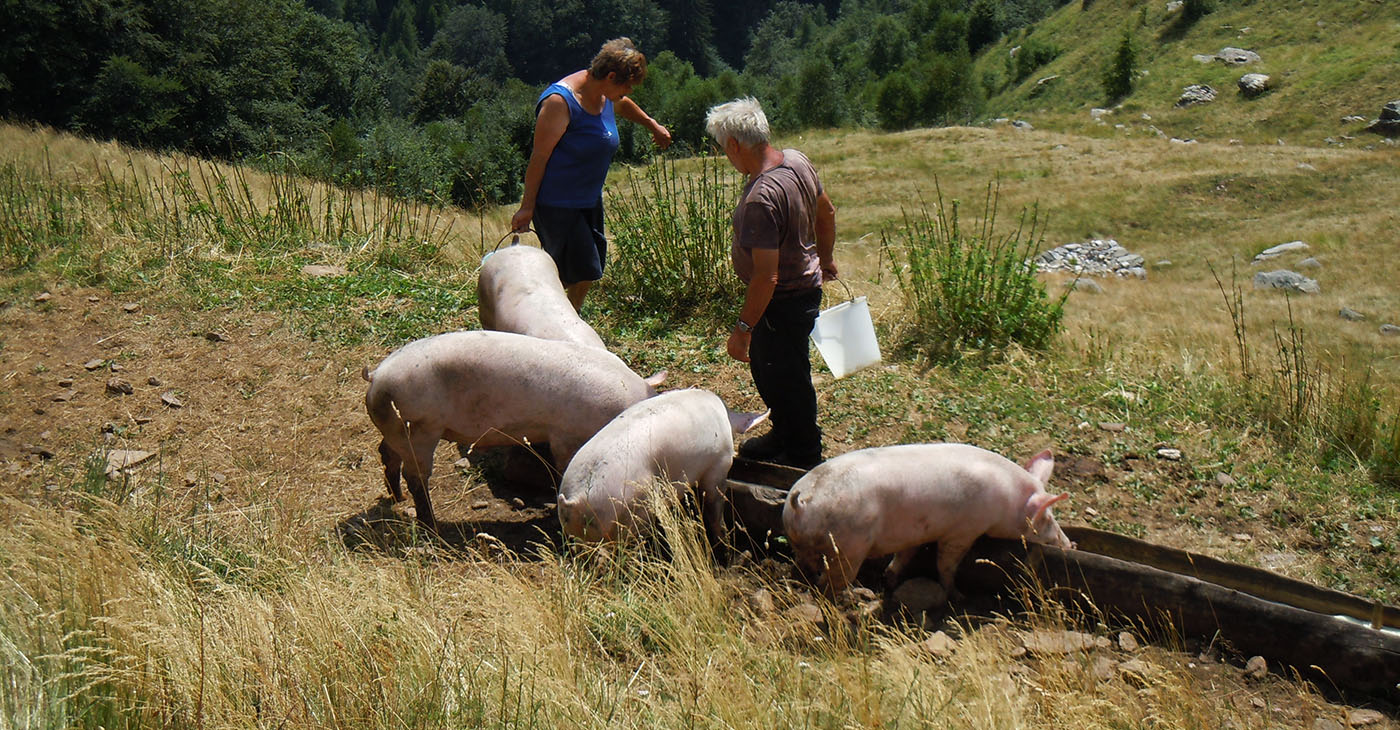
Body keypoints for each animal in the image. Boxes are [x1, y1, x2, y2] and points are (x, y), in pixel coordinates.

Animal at [363, 330, 664, 530]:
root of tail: (376, 375)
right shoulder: (565, 436)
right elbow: (562, 467)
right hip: (420, 428)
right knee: (415, 475)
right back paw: (431, 523)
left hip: (398, 430)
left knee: (386, 452)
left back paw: (397, 497)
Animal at [781, 443, 1074, 597]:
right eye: (1047, 518)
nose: (1071, 544)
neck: (1007, 501)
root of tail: (802, 501)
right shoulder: (963, 531)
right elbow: (946, 563)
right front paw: (956, 595)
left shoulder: (914, 532)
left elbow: (905, 555)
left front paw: (890, 581)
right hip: (848, 547)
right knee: (829, 584)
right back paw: (854, 598)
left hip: (802, 541)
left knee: (804, 566)